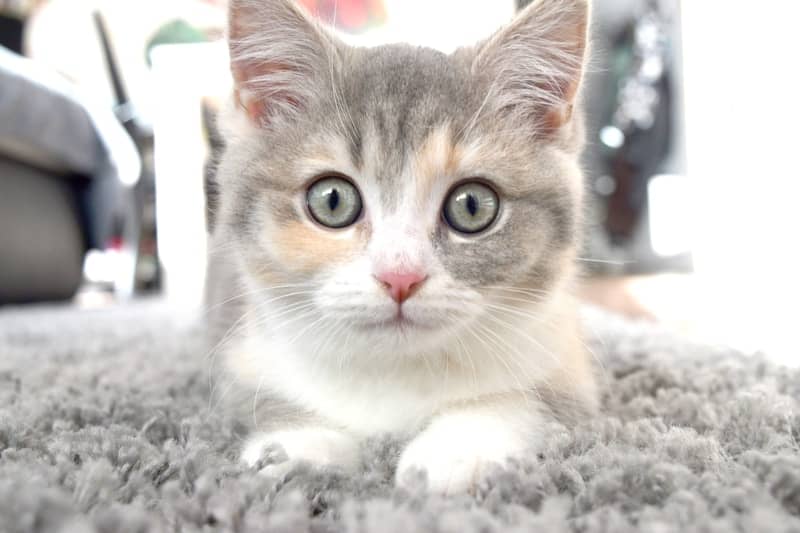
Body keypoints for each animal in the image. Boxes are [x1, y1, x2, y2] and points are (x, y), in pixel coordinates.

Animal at [209, 0, 596, 492]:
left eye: (472, 206)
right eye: (332, 200)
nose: (400, 275)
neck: (395, 370)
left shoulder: (566, 359)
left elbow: (530, 403)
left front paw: (457, 448)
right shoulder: (242, 353)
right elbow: (263, 401)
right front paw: (298, 446)